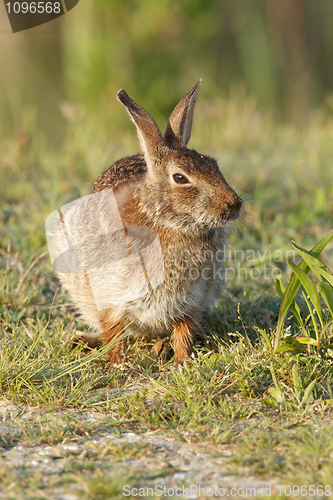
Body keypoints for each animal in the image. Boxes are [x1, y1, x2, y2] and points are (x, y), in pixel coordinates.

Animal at [49, 79, 240, 368]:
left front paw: (183, 362)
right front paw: (119, 365)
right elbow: (114, 331)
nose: (234, 204)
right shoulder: (110, 294)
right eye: (180, 178)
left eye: (214, 165)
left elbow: (184, 332)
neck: (164, 220)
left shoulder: (192, 300)